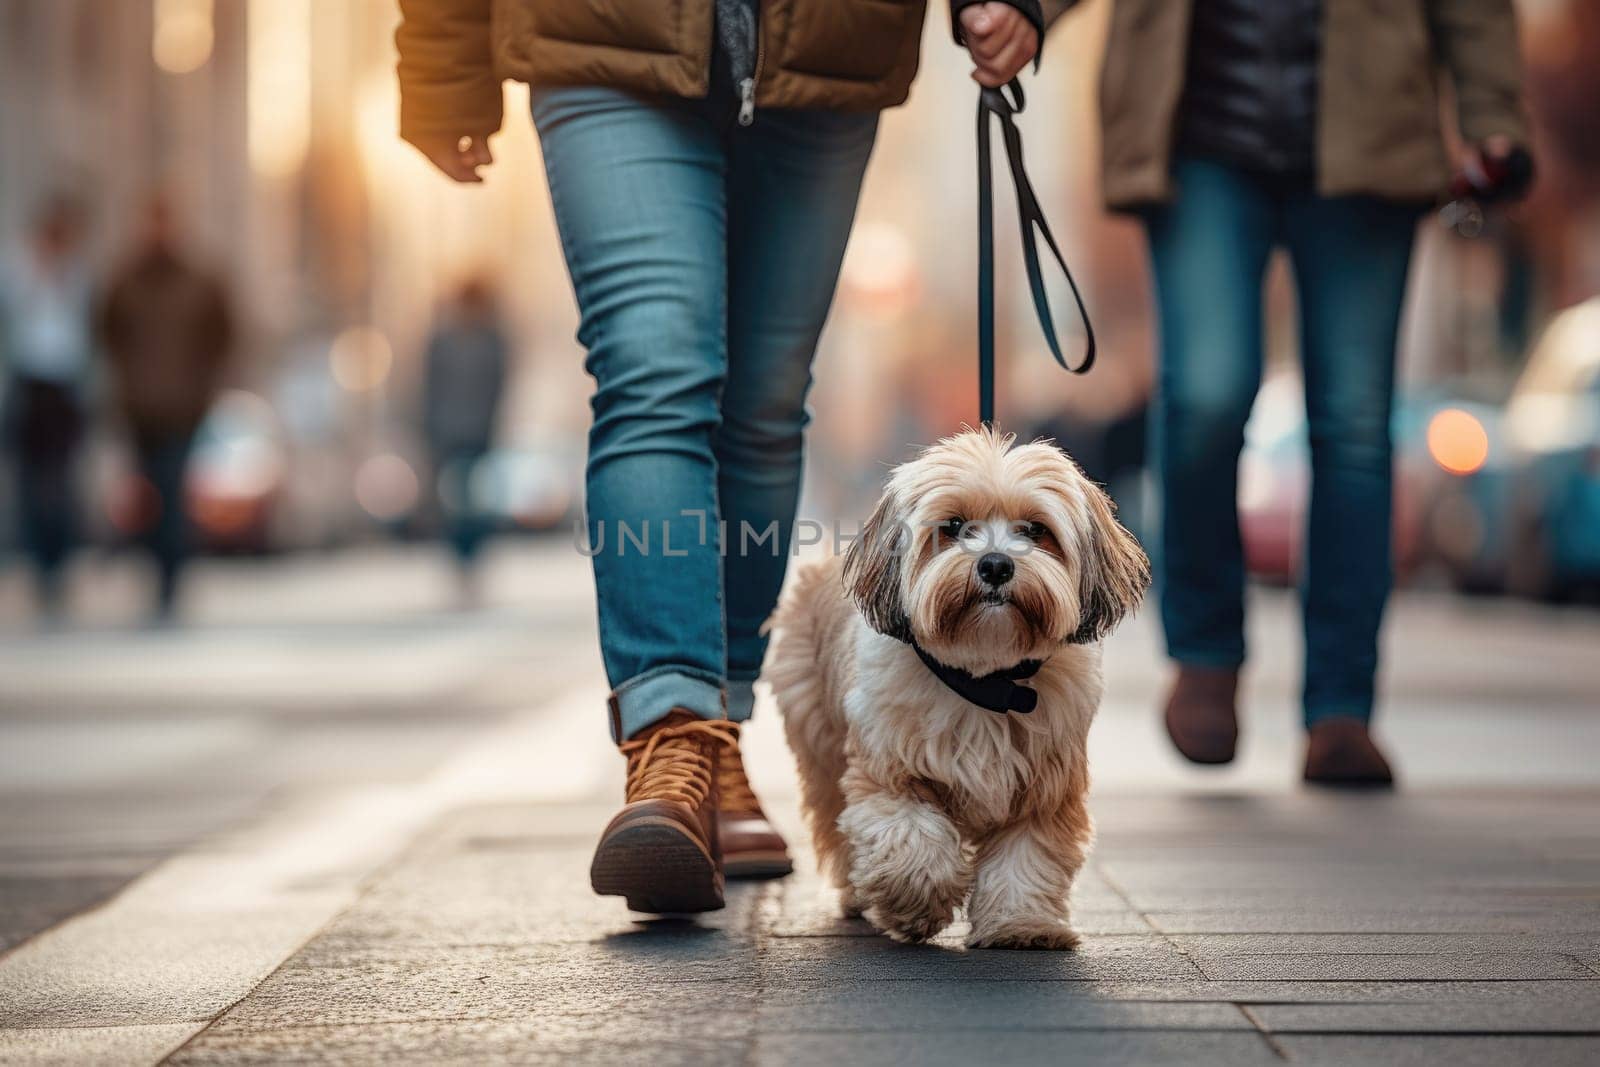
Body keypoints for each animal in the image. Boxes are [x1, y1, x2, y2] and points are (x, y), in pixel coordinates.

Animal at [764, 428, 1152, 947]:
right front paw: (916, 902)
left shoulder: (1045, 786)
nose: (995, 565)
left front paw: (1021, 924)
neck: (986, 682)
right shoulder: (890, 774)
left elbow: (1027, 856)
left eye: (1035, 530)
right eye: (953, 525)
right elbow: (912, 838)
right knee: (833, 818)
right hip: (821, 744)